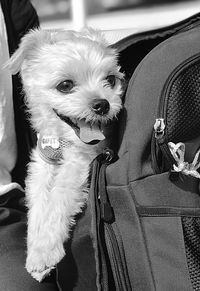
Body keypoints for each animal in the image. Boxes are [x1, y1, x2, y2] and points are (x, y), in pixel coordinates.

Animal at [5, 28, 123, 282]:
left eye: (110, 80)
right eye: (65, 85)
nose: (103, 104)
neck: (62, 140)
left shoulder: (78, 165)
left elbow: (58, 200)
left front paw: (44, 252)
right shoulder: (41, 167)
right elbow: (38, 207)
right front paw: (36, 251)